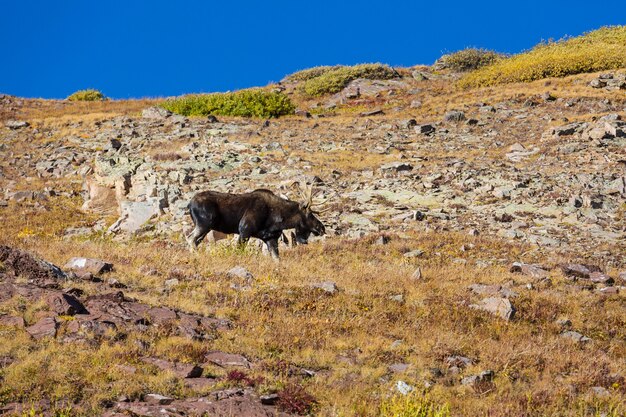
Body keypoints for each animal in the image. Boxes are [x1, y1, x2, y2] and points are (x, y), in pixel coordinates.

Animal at [185, 184, 324, 258]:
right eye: (310, 214)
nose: (322, 228)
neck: (278, 219)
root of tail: (189, 204)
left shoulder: (270, 238)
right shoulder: (244, 230)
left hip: (205, 229)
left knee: (194, 241)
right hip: (204, 224)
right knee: (190, 238)